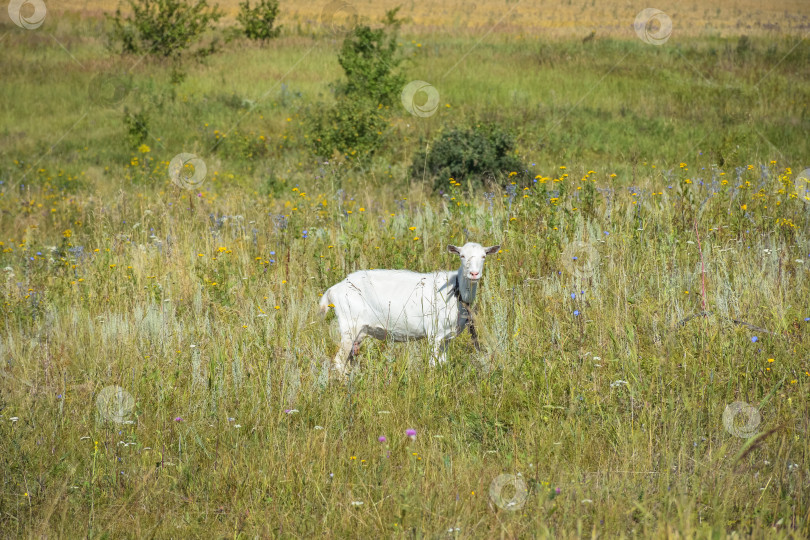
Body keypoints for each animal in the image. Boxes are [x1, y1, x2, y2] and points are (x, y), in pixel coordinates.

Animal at [318, 242, 498, 374]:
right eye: (462, 256)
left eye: (483, 256)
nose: (474, 274)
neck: (455, 289)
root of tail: (334, 289)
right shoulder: (434, 333)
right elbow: (433, 363)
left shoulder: (447, 337)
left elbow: (443, 362)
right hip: (349, 325)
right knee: (339, 361)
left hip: (359, 332)